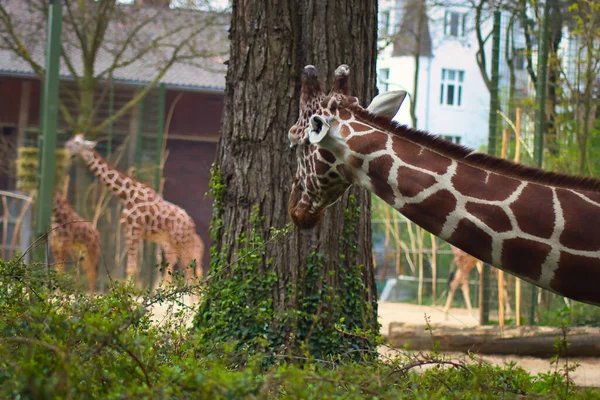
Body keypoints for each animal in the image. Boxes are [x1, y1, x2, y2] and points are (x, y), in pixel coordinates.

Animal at [63, 135, 204, 284]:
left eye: (77, 142)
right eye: (73, 138)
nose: (66, 145)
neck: (127, 194)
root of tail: (191, 224)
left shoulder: (134, 230)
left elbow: (131, 268)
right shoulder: (131, 232)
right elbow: (132, 268)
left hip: (181, 241)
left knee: (189, 267)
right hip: (172, 242)